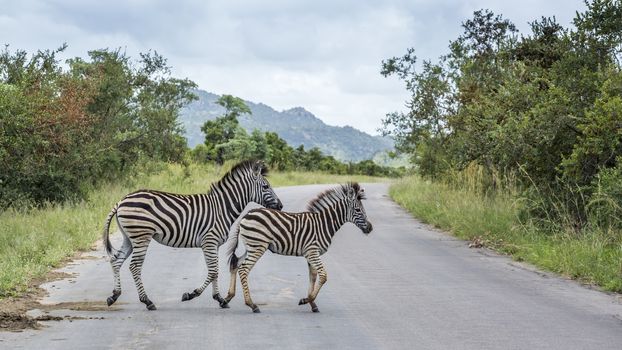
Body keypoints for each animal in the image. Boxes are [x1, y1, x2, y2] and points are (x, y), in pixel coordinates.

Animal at [103, 160, 286, 310]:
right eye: (265, 187)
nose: (281, 206)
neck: (222, 207)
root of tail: (122, 200)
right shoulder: (209, 241)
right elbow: (213, 271)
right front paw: (192, 295)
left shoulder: (214, 244)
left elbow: (215, 270)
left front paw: (219, 298)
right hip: (141, 235)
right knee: (134, 266)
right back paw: (147, 301)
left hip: (129, 237)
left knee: (116, 260)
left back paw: (114, 296)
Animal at [224, 182, 372, 314]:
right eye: (358, 210)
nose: (370, 228)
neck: (324, 224)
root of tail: (246, 214)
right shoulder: (313, 252)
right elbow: (323, 276)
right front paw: (306, 300)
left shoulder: (311, 253)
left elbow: (313, 276)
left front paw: (312, 303)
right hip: (258, 246)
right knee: (243, 269)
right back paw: (252, 305)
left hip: (251, 247)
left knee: (235, 263)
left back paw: (227, 298)